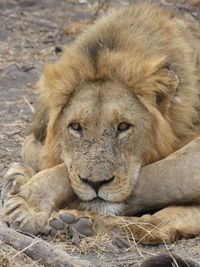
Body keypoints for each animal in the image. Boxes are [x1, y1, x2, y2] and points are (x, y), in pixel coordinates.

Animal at [2, 3, 200, 245]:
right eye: (75, 127)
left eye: (123, 126)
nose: (95, 184)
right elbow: (35, 151)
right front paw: (20, 176)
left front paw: (29, 202)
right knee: (164, 223)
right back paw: (74, 222)